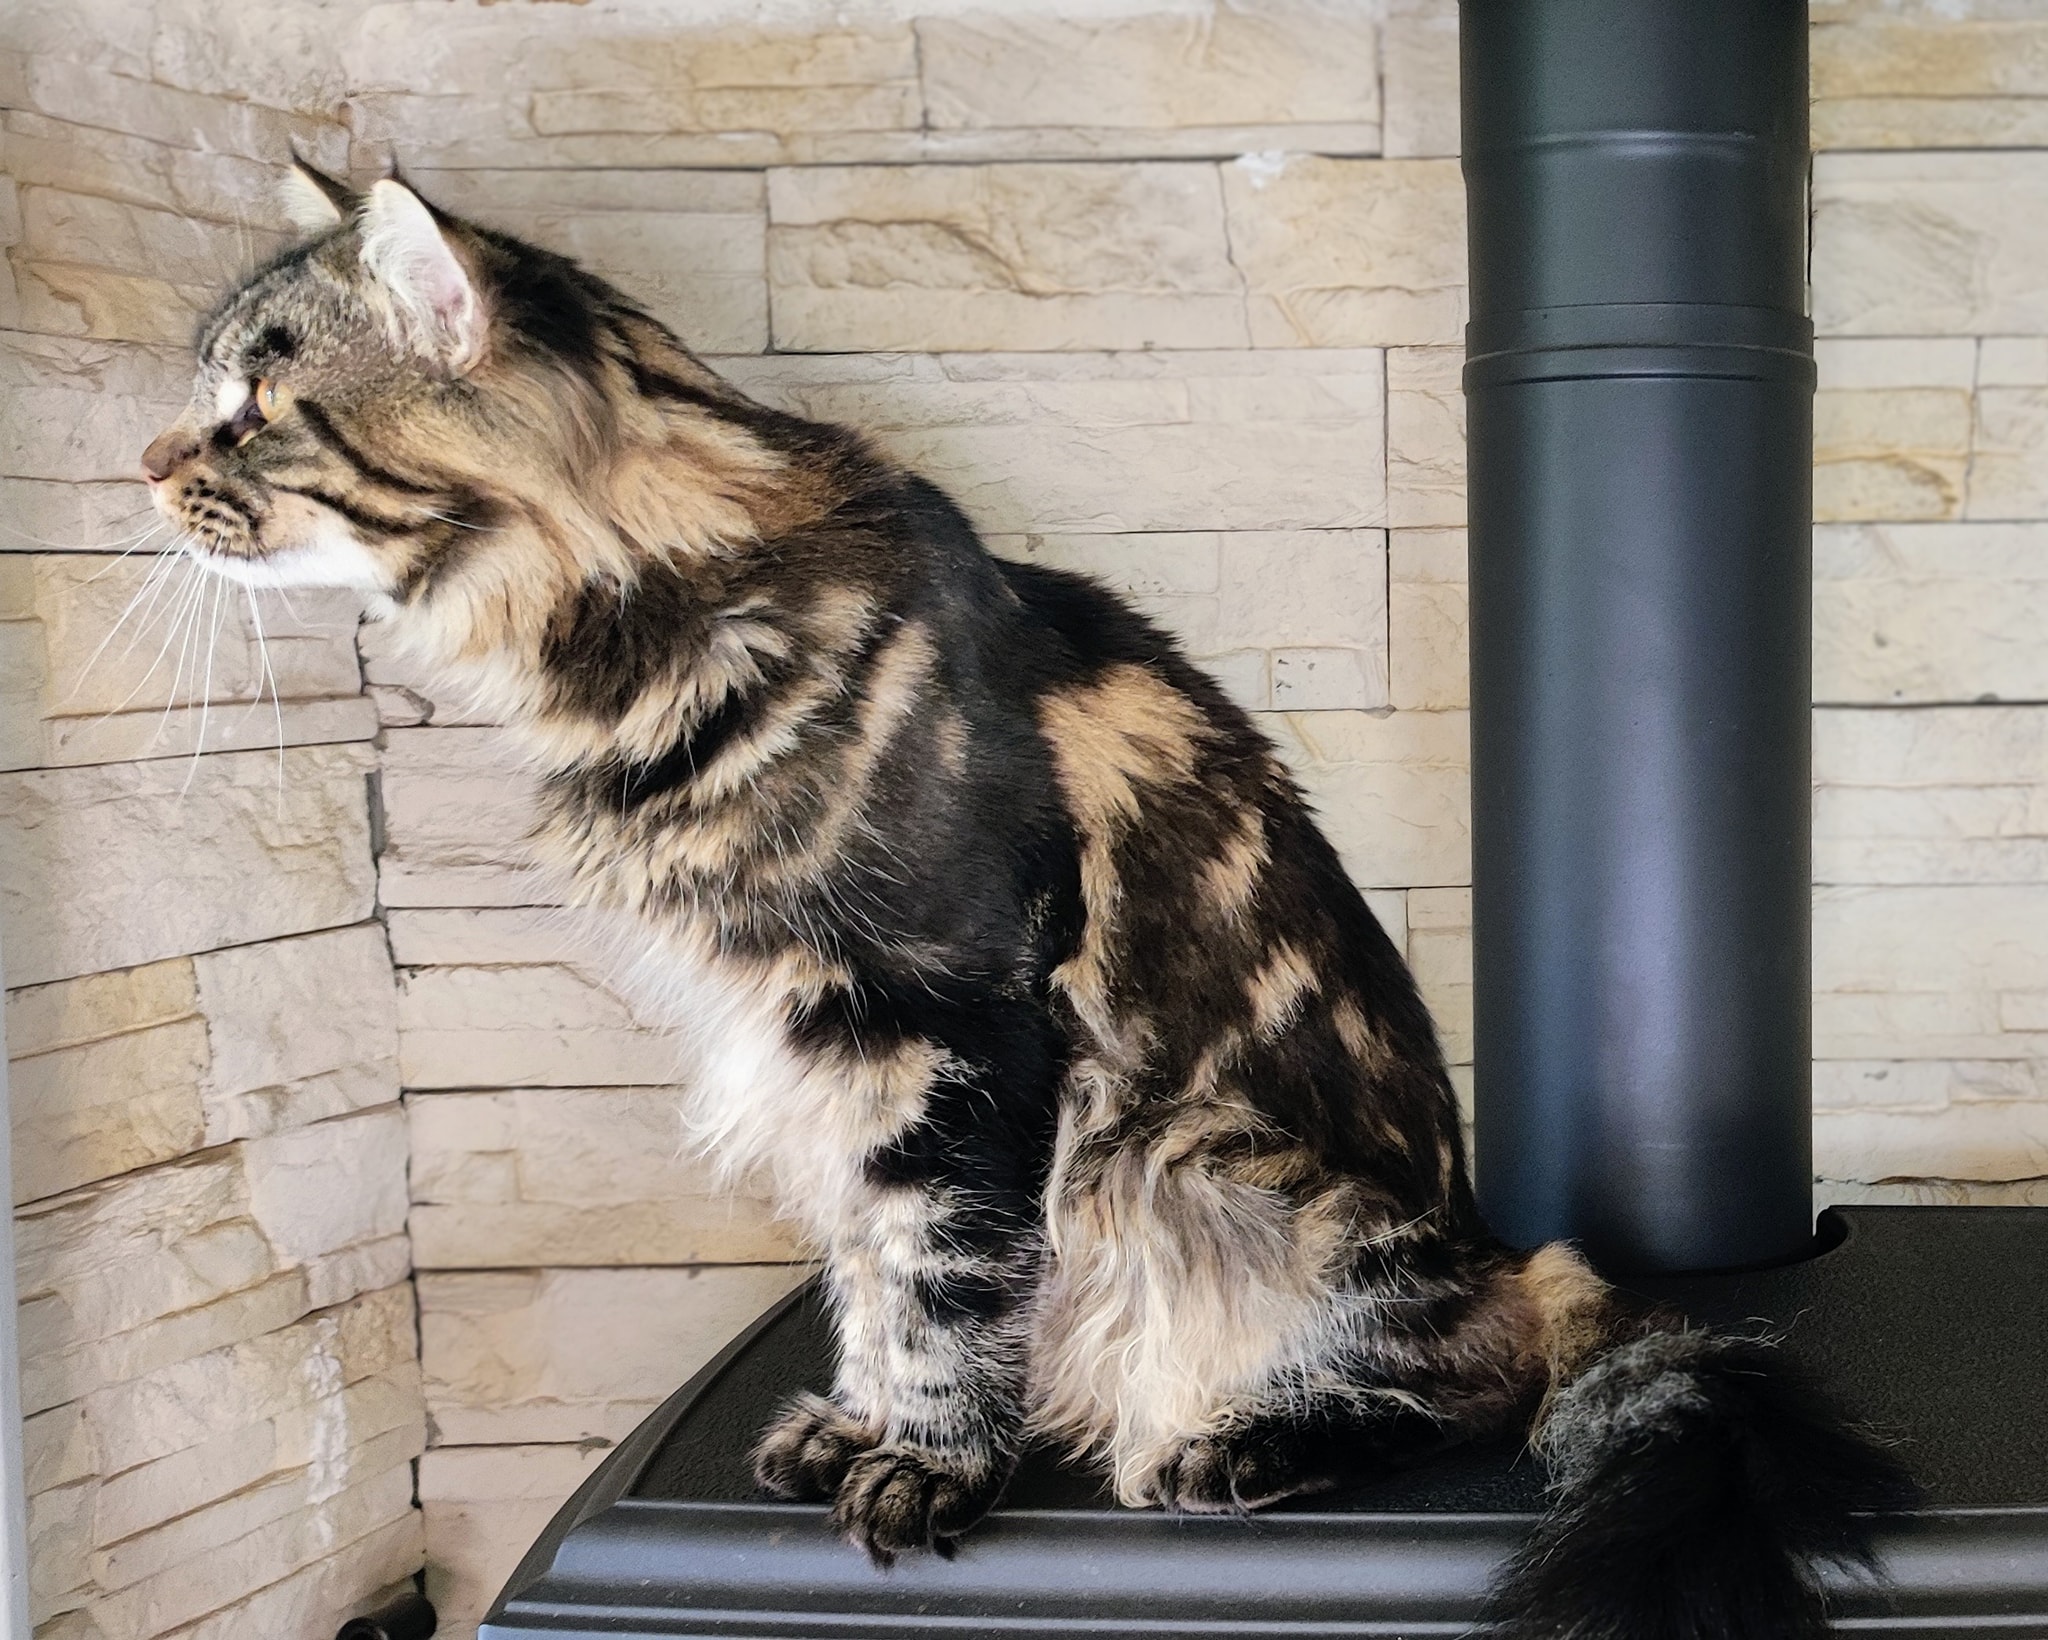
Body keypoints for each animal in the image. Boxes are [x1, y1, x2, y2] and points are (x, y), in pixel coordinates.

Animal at [139, 161, 1910, 1637]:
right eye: (209, 391)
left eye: (257, 401)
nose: (147, 464)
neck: (656, 615)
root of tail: (1514, 1248)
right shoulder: (822, 1053)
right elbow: (866, 1267)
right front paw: (859, 1423)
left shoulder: (947, 1021)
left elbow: (937, 1269)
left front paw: (927, 1465)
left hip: (1203, 1166)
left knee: (1485, 1381)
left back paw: (1234, 1442)